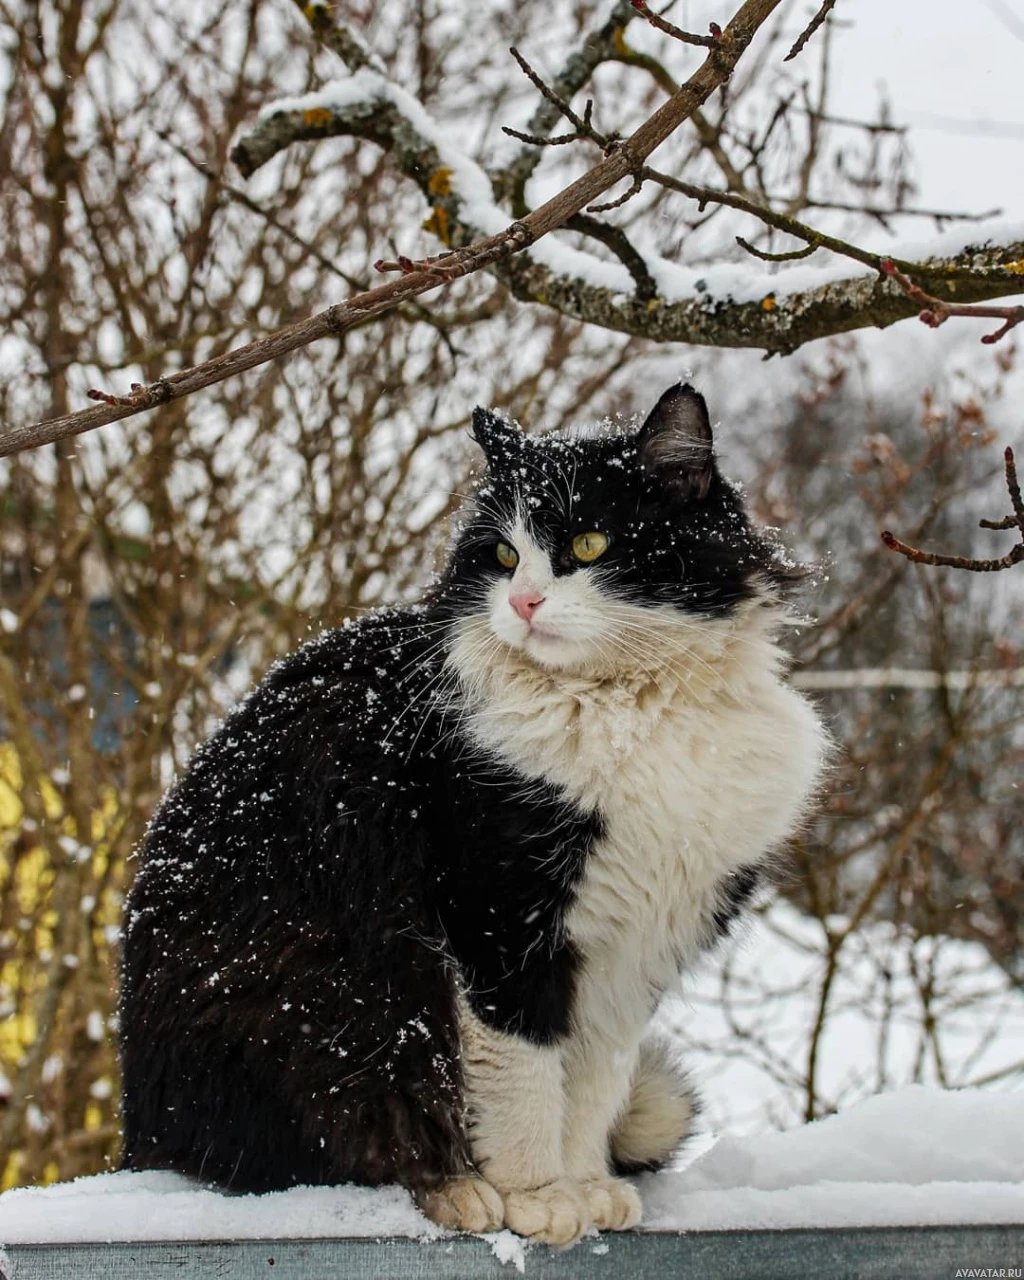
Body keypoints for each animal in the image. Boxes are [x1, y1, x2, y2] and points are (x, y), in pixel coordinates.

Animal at [117, 378, 824, 1239]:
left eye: (590, 544)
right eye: (504, 556)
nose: (522, 602)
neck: (630, 706)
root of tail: (140, 1130)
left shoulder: (628, 957)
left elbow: (590, 1086)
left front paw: (585, 1186)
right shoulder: (498, 922)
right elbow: (525, 1076)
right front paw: (536, 1197)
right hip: (332, 1001)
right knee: (330, 1150)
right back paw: (458, 1191)